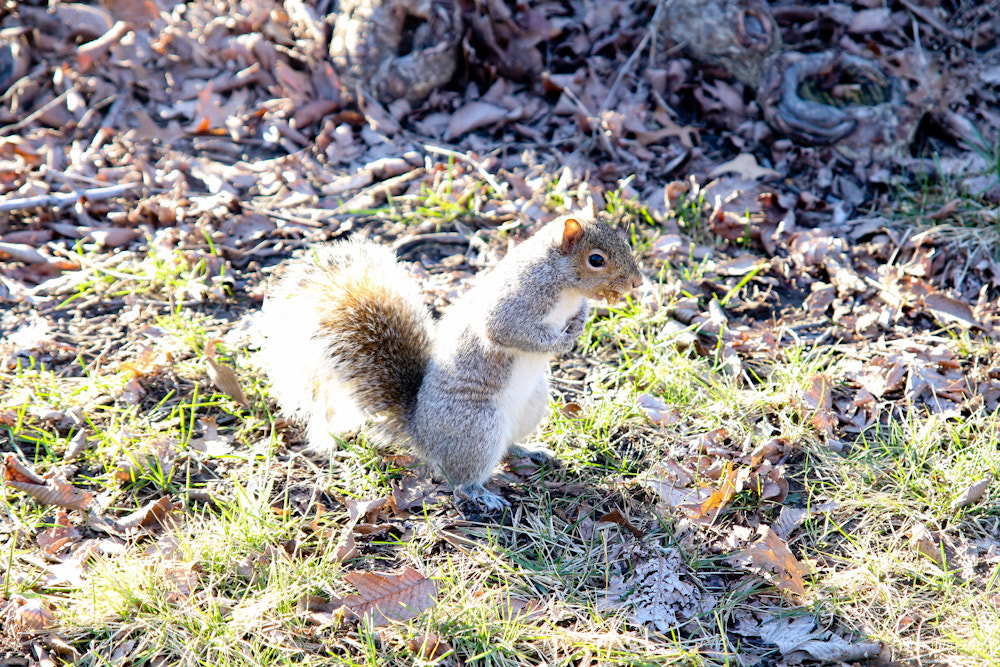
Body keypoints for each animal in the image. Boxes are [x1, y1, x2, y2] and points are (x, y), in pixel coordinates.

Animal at [257, 215, 643, 511]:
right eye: (596, 259)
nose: (638, 282)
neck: (563, 284)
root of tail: (422, 434)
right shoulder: (518, 300)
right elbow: (506, 330)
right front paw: (561, 341)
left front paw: (580, 321)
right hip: (477, 427)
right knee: (460, 478)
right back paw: (482, 495)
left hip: (531, 405)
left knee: (507, 446)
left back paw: (529, 451)